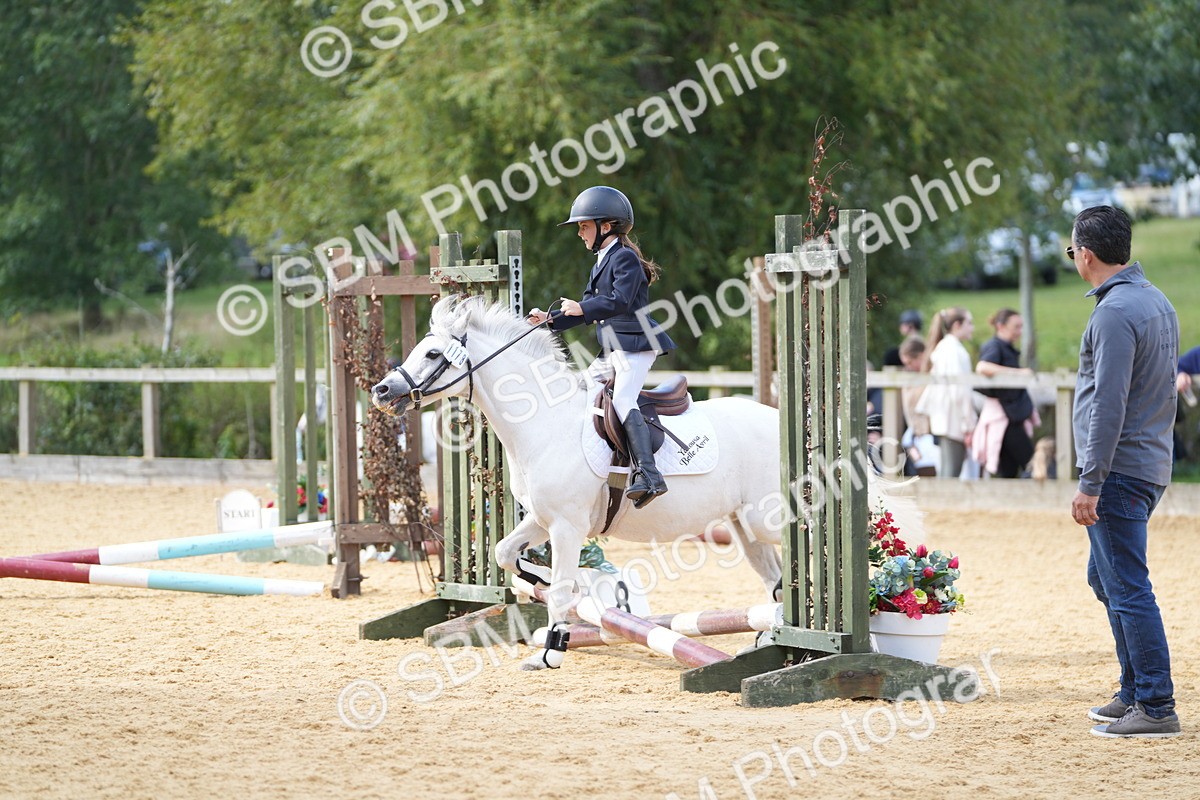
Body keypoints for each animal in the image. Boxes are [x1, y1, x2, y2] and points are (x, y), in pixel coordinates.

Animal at [371, 295, 913, 670]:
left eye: (433, 353)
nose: (381, 390)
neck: (544, 422)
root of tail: (793, 425)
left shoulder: (566, 527)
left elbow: (563, 588)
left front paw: (551, 651)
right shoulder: (543, 521)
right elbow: (507, 554)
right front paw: (534, 583)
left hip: (771, 517)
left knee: (826, 549)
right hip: (744, 527)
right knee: (778, 582)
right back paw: (773, 639)